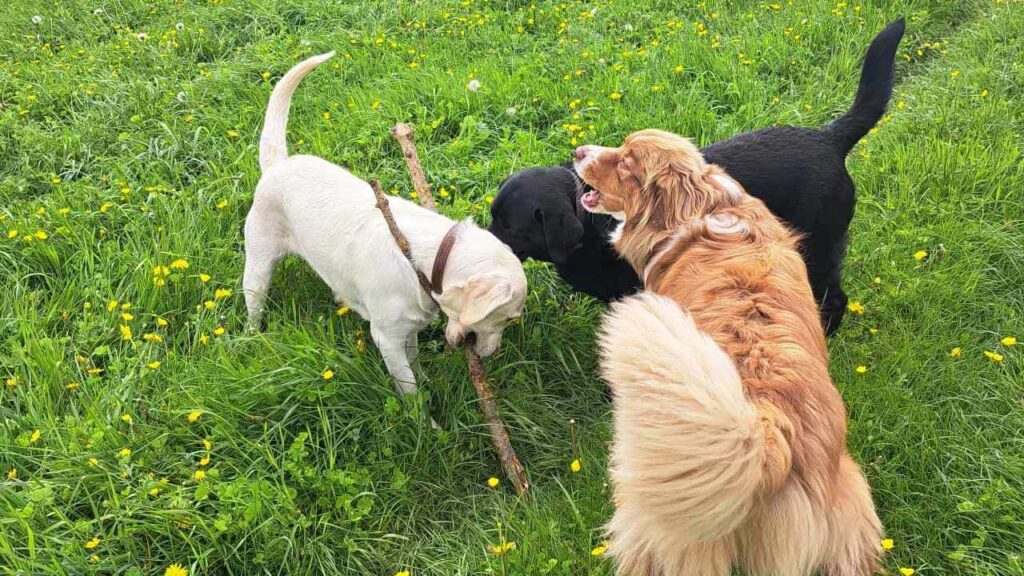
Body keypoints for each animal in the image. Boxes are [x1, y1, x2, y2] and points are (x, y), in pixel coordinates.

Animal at [242, 52, 524, 403]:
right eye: (509, 317)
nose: (492, 353)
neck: (423, 261)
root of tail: (277, 165)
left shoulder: (409, 330)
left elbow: (415, 365)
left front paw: (427, 385)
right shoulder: (387, 338)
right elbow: (409, 387)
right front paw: (422, 414)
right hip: (258, 267)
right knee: (253, 307)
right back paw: (252, 337)